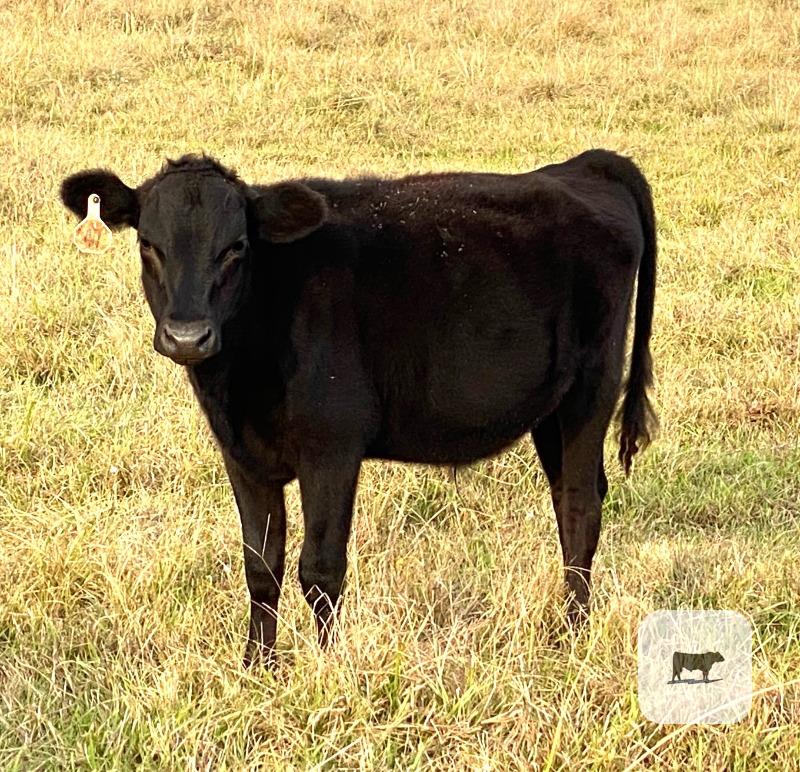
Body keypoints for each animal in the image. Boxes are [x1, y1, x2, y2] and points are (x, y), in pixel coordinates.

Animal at [60, 149, 657, 666]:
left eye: (236, 248)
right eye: (148, 245)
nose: (187, 336)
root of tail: (584, 165)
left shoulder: (332, 448)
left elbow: (320, 570)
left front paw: (326, 669)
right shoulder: (244, 456)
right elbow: (262, 567)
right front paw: (257, 667)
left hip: (590, 391)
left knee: (580, 509)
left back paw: (569, 638)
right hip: (550, 411)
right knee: (571, 499)